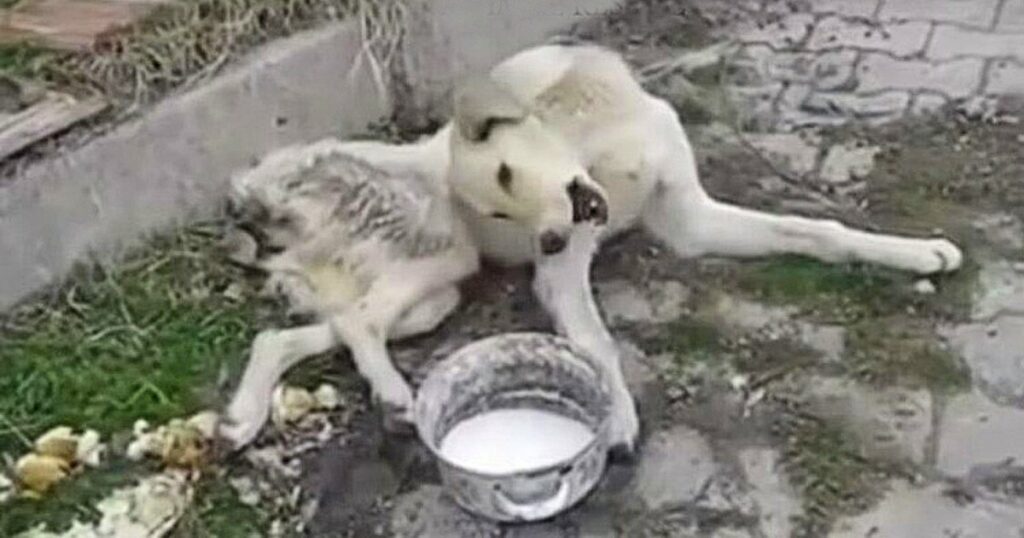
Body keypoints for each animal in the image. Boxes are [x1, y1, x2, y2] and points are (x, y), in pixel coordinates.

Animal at [216, 43, 958, 452]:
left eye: (506, 177)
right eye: (493, 207)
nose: (546, 238)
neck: (596, 136)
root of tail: (264, 208)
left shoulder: (689, 218)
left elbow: (817, 232)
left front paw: (919, 254)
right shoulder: (562, 274)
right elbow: (597, 342)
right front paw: (617, 416)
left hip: (431, 299)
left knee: (301, 333)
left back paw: (244, 417)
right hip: (443, 262)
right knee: (359, 321)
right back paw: (396, 398)